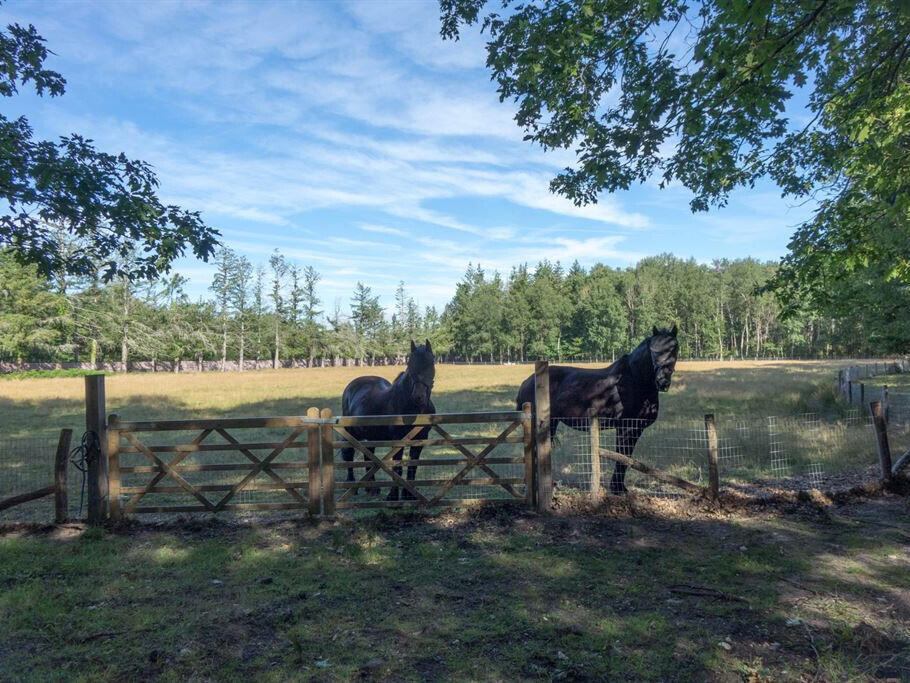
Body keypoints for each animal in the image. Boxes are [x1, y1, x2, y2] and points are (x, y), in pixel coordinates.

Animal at [344, 340, 440, 500]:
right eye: (410, 365)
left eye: (430, 363)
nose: (418, 397)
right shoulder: (397, 439)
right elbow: (397, 467)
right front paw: (393, 495)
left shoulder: (420, 439)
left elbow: (412, 467)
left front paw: (409, 495)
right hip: (350, 433)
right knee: (349, 456)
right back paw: (352, 486)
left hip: (371, 436)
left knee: (368, 456)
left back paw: (371, 488)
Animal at [516, 326, 680, 492]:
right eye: (653, 351)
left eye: (674, 349)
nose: (662, 381)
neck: (633, 381)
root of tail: (527, 381)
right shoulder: (625, 427)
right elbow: (622, 455)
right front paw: (617, 489)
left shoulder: (636, 428)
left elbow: (626, 457)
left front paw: (619, 487)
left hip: (552, 423)